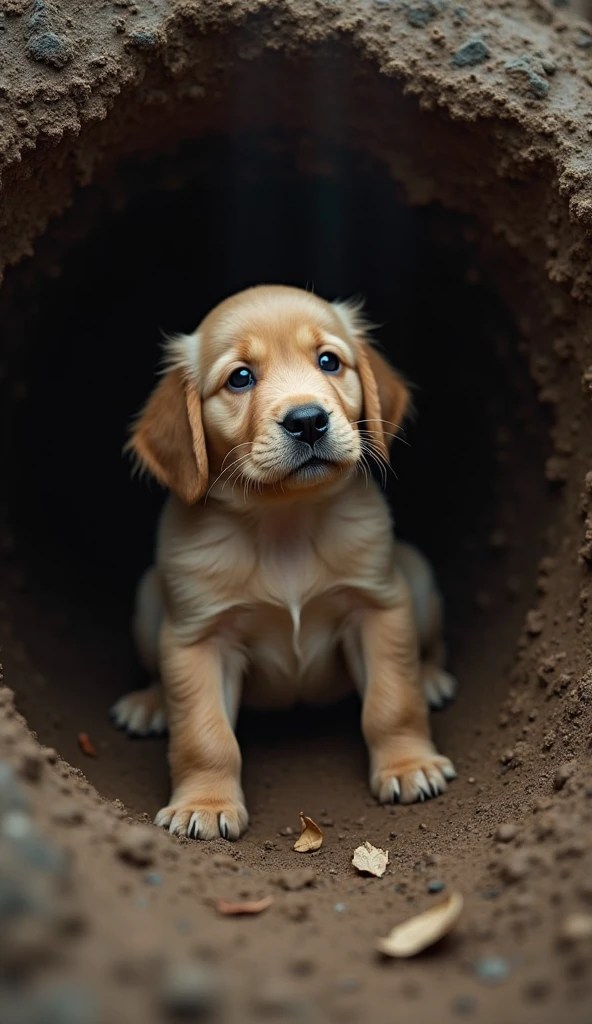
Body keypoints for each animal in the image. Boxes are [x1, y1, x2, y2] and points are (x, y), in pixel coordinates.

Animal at [111, 282, 456, 839]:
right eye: (240, 377)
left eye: (329, 361)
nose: (308, 421)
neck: (283, 522)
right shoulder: (197, 638)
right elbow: (204, 735)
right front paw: (204, 804)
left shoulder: (378, 605)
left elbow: (391, 702)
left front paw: (409, 765)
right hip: (147, 603)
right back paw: (149, 703)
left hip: (419, 580)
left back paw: (430, 677)